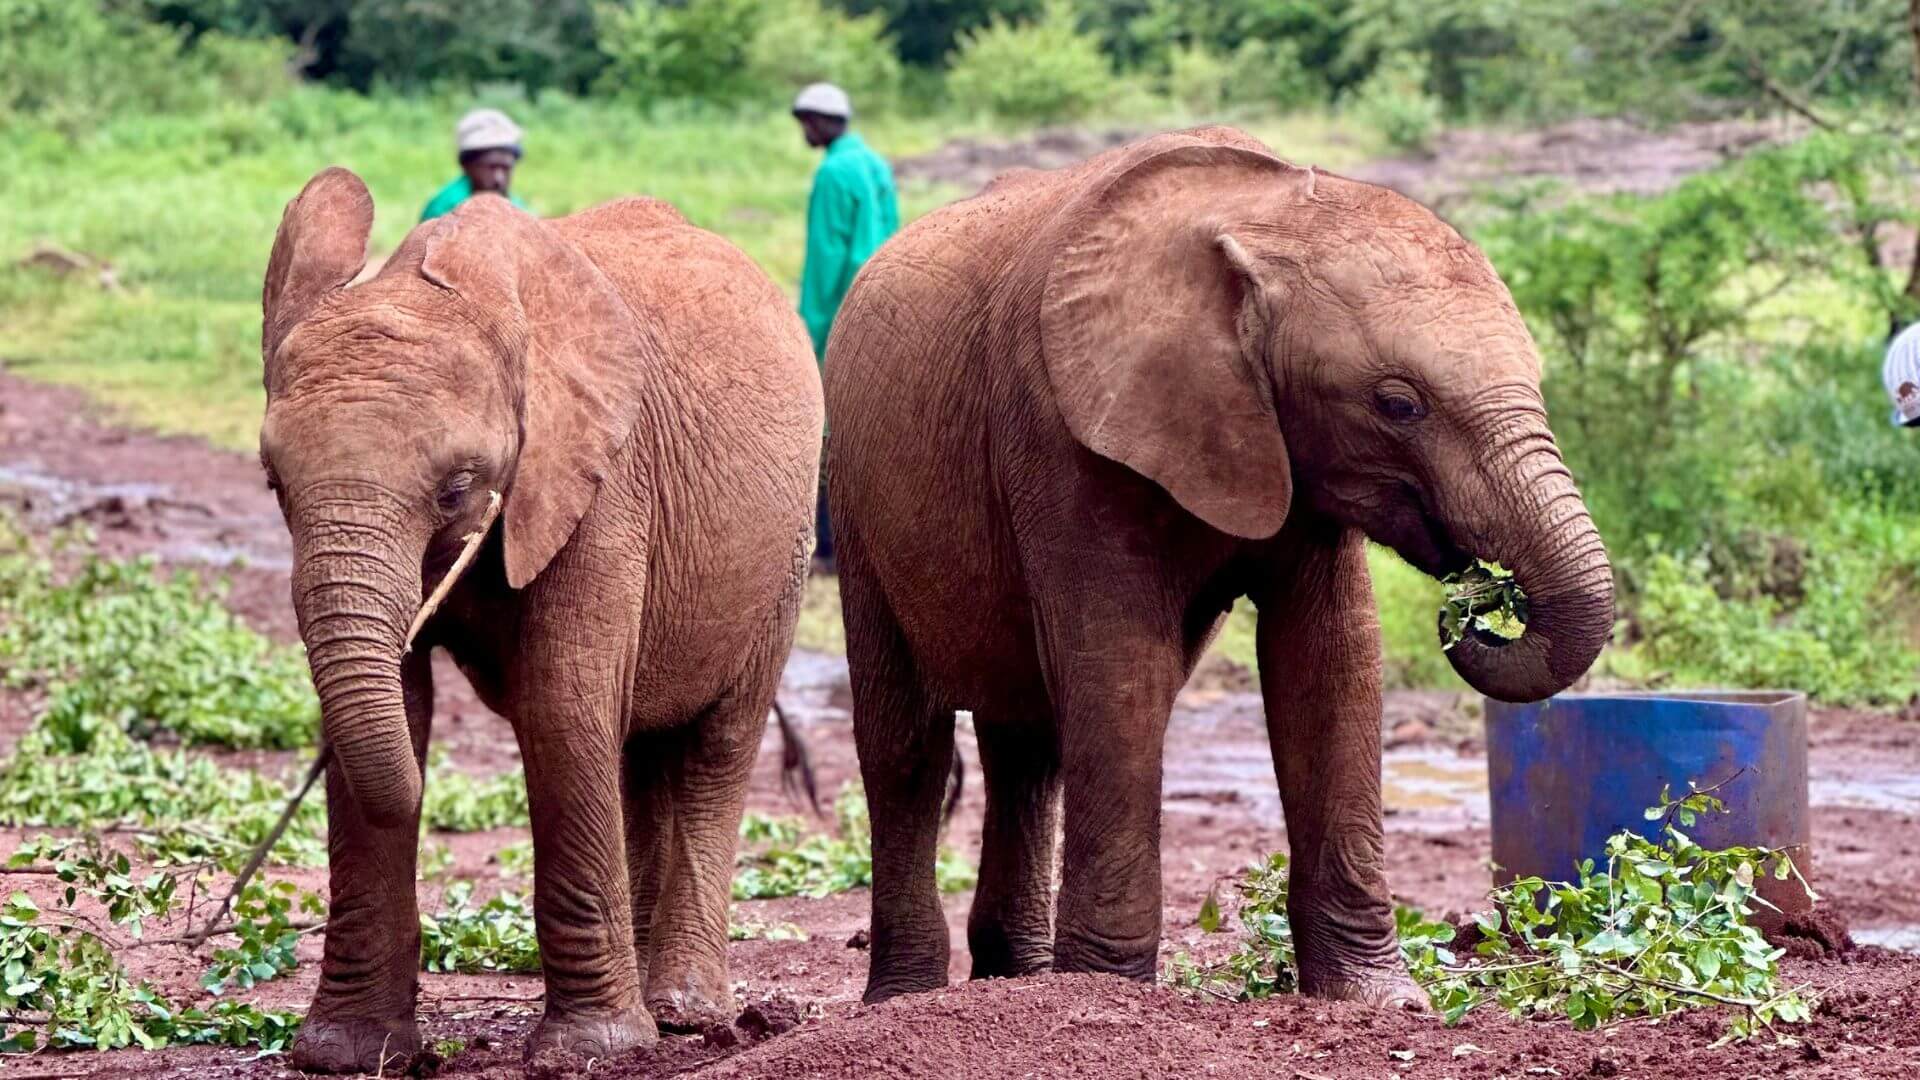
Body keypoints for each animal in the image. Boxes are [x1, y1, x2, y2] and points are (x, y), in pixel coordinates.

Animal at [258, 169, 823, 1070]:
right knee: (634, 746)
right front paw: (346, 1055)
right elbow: (401, 706)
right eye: (274, 482)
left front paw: (593, 1052)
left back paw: (682, 1014)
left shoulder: (603, 483)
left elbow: (560, 701)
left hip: (785, 551)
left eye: (458, 487)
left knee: (716, 743)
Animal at [823, 127, 1613, 1006]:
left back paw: (1015, 978)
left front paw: (1378, 999)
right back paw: (907, 997)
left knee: (1028, 744)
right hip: (853, 491)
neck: (1265, 216)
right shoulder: (1063, 430)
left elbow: (1331, 662)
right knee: (906, 747)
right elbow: (1119, 668)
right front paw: (1108, 995)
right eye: (1398, 404)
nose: (1477, 606)